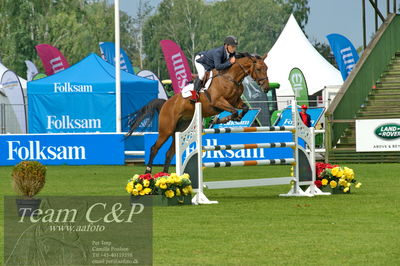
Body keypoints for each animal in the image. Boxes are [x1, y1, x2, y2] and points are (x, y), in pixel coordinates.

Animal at [126, 52, 270, 174]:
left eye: (267, 68)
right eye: (258, 69)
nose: (266, 88)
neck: (230, 78)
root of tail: (166, 103)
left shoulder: (236, 101)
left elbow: (244, 108)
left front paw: (235, 118)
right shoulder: (218, 102)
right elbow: (233, 111)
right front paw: (219, 120)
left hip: (179, 131)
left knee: (169, 152)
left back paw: (165, 175)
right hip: (166, 130)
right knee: (154, 148)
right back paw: (148, 172)